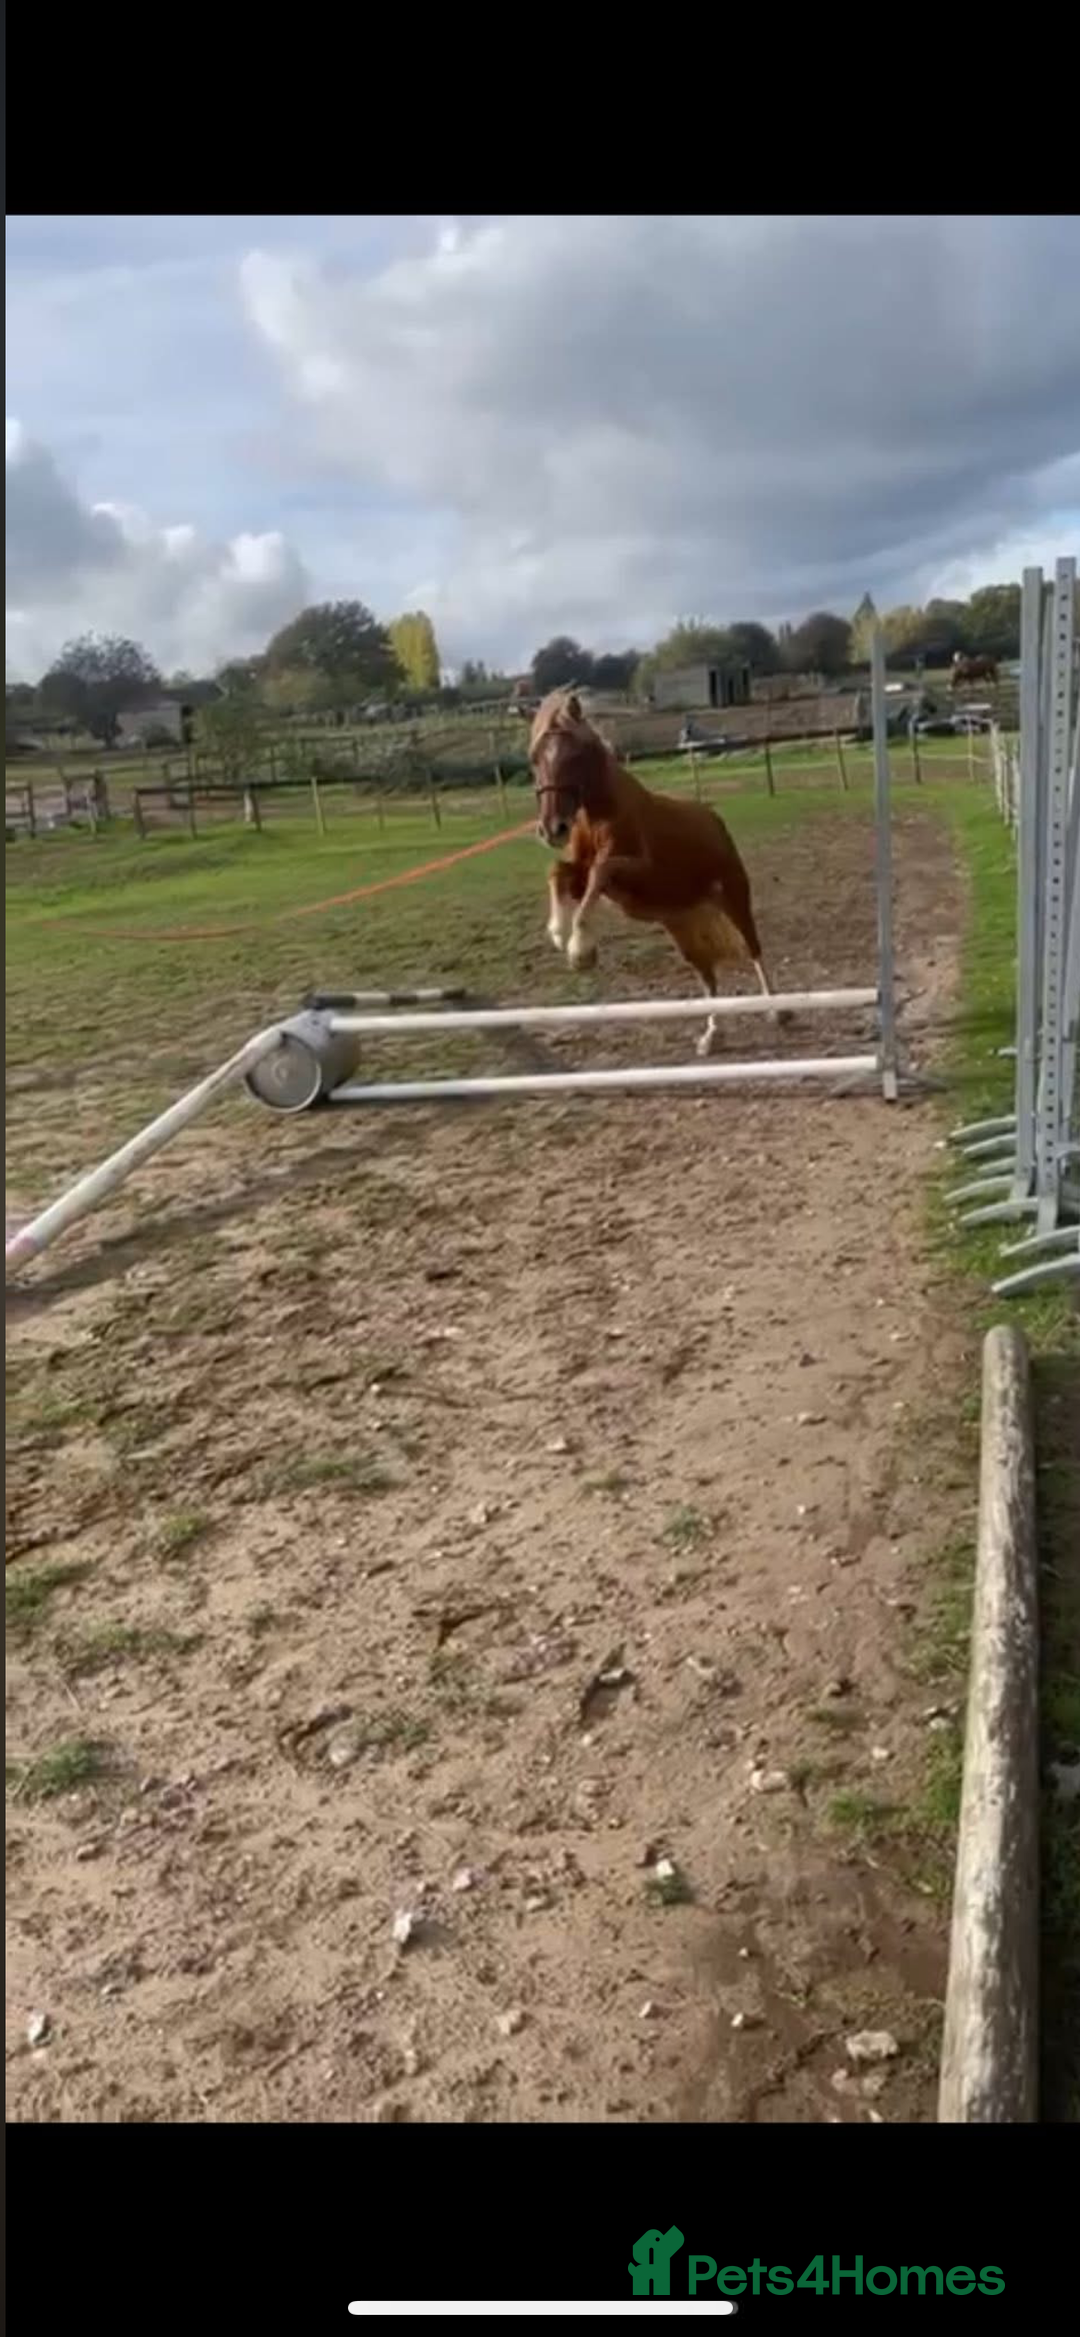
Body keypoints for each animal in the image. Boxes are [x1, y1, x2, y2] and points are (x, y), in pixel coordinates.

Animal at [529, 688, 782, 1058]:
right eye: (535, 759)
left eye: (575, 755)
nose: (553, 829)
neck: (602, 817)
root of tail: (714, 819)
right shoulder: (579, 876)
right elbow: (557, 872)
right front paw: (560, 933)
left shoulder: (635, 871)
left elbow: (601, 870)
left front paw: (580, 949)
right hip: (681, 926)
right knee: (707, 974)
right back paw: (711, 1036)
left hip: (734, 898)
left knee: (754, 949)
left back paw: (779, 1011)